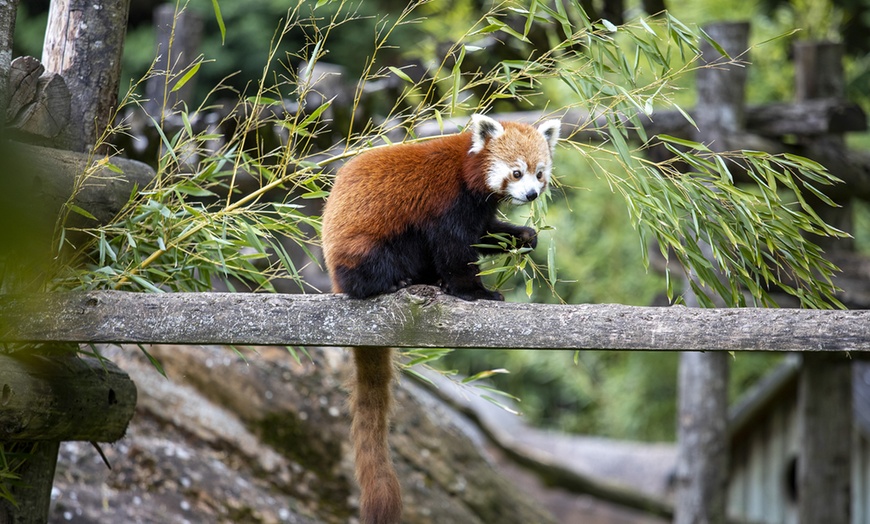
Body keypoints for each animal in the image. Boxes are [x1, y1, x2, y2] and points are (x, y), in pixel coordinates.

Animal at [324, 112, 564, 520]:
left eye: (539, 172)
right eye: (516, 173)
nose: (532, 195)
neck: (468, 173)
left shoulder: (480, 210)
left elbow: (485, 234)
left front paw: (522, 236)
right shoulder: (446, 202)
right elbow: (454, 248)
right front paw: (475, 291)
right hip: (367, 242)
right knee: (377, 263)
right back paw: (394, 282)